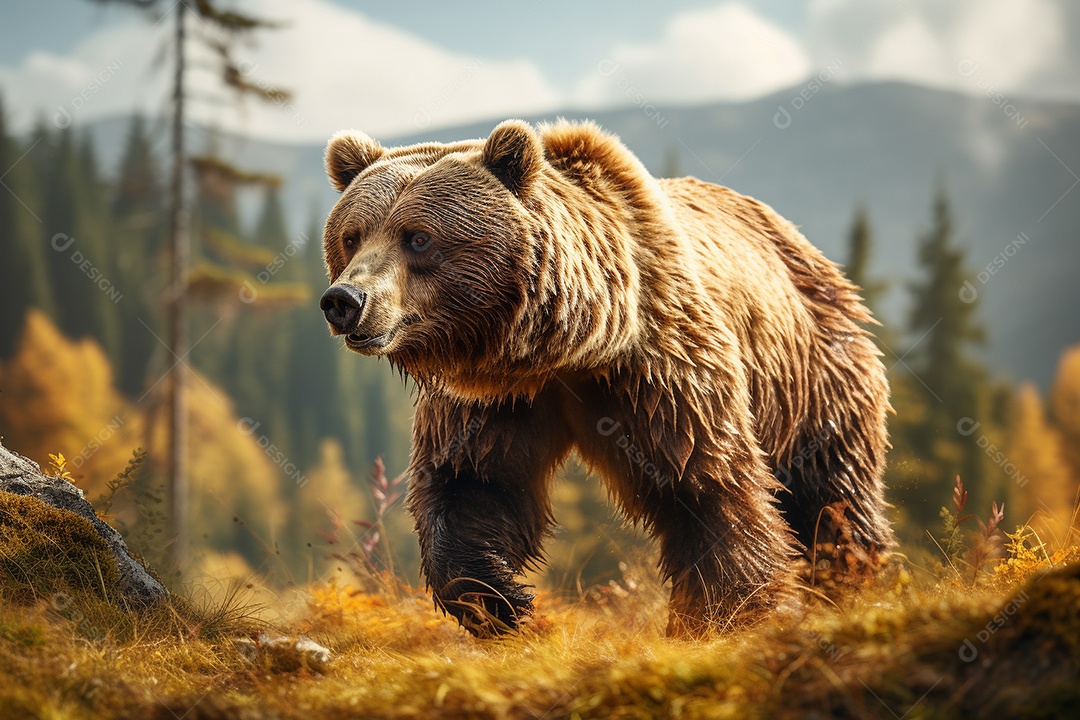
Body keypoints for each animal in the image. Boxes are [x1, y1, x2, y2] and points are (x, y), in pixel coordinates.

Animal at [319, 119, 893, 637]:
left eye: (418, 237)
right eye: (352, 235)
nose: (345, 300)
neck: (567, 350)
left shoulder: (659, 371)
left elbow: (706, 484)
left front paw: (726, 613)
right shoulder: (492, 395)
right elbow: (473, 483)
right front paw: (504, 602)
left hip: (813, 369)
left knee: (831, 490)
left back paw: (854, 576)